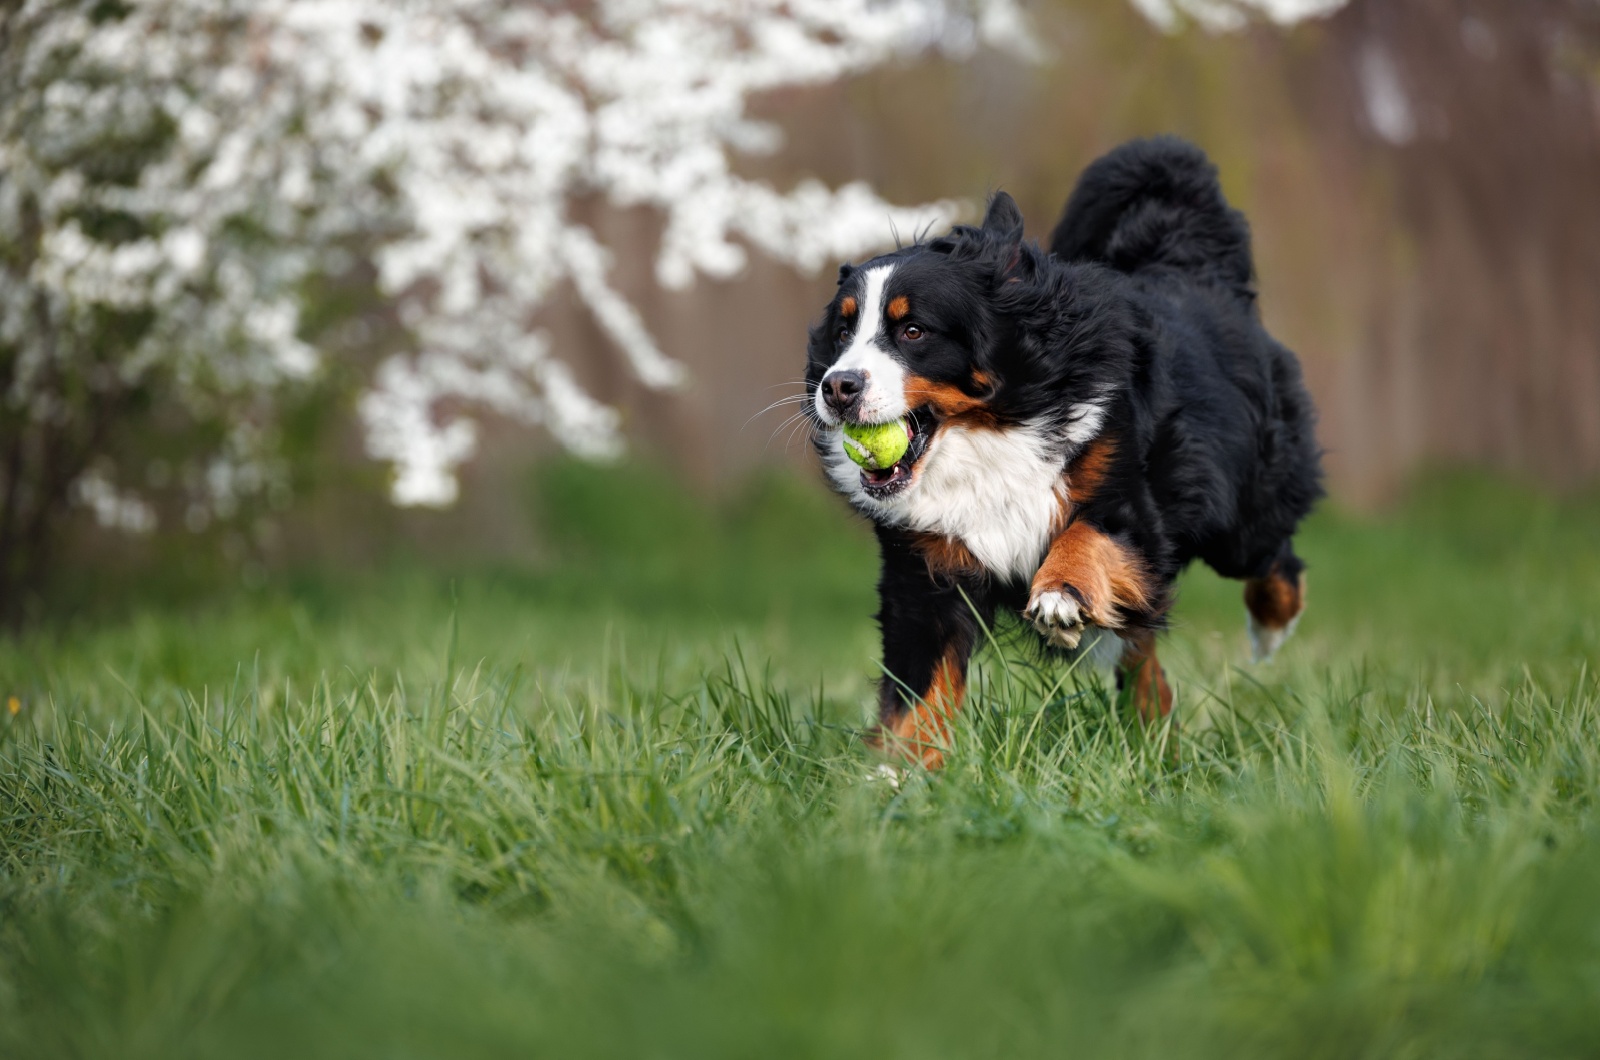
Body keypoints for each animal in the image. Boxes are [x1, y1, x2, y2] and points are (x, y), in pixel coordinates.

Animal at [806, 139, 1318, 771]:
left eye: (914, 331)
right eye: (842, 332)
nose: (838, 386)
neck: (993, 434)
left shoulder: (1130, 501)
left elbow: (1088, 535)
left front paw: (1059, 596)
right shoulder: (924, 568)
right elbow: (918, 686)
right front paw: (897, 773)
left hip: (1244, 511)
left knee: (1271, 559)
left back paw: (1270, 629)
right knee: (1140, 645)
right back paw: (1152, 726)